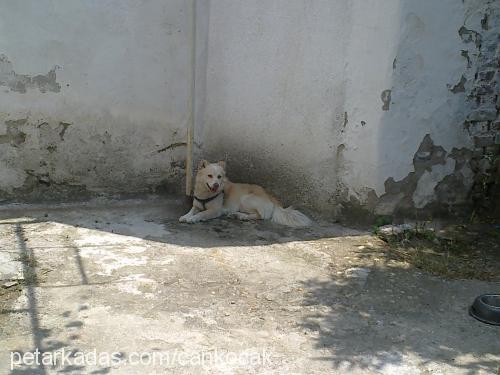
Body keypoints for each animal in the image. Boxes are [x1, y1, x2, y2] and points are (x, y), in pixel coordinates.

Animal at [180, 160, 312, 228]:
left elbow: (201, 214)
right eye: (209, 176)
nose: (216, 185)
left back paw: (241, 216)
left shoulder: (215, 210)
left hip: (245, 198)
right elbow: (192, 210)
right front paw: (186, 216)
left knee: (260, 216)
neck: (206, 194)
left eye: (219, 177)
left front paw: (193, 219)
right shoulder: (196, 205)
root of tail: (272, 198)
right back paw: (236, 214)